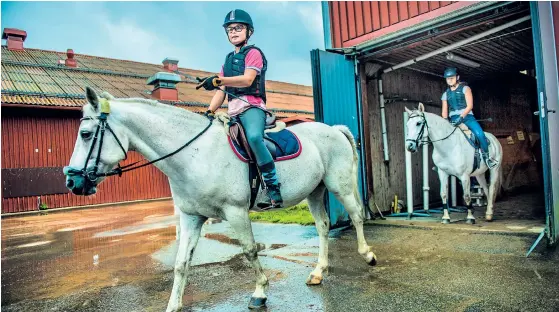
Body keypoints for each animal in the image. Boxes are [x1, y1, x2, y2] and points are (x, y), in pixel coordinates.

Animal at [64, 88, 380, 312]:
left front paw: (260, 293)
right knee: (324, 227)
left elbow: (250, 250)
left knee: (355, 216)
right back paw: (317, 272)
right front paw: (173, 304)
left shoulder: (236, 212)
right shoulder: (191, 218)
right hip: (315, 191)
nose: (72, 182)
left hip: (339, 186)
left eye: (86, 133)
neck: (195, 154)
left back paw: (368, 255)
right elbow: (181, 263)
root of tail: (333, 129)